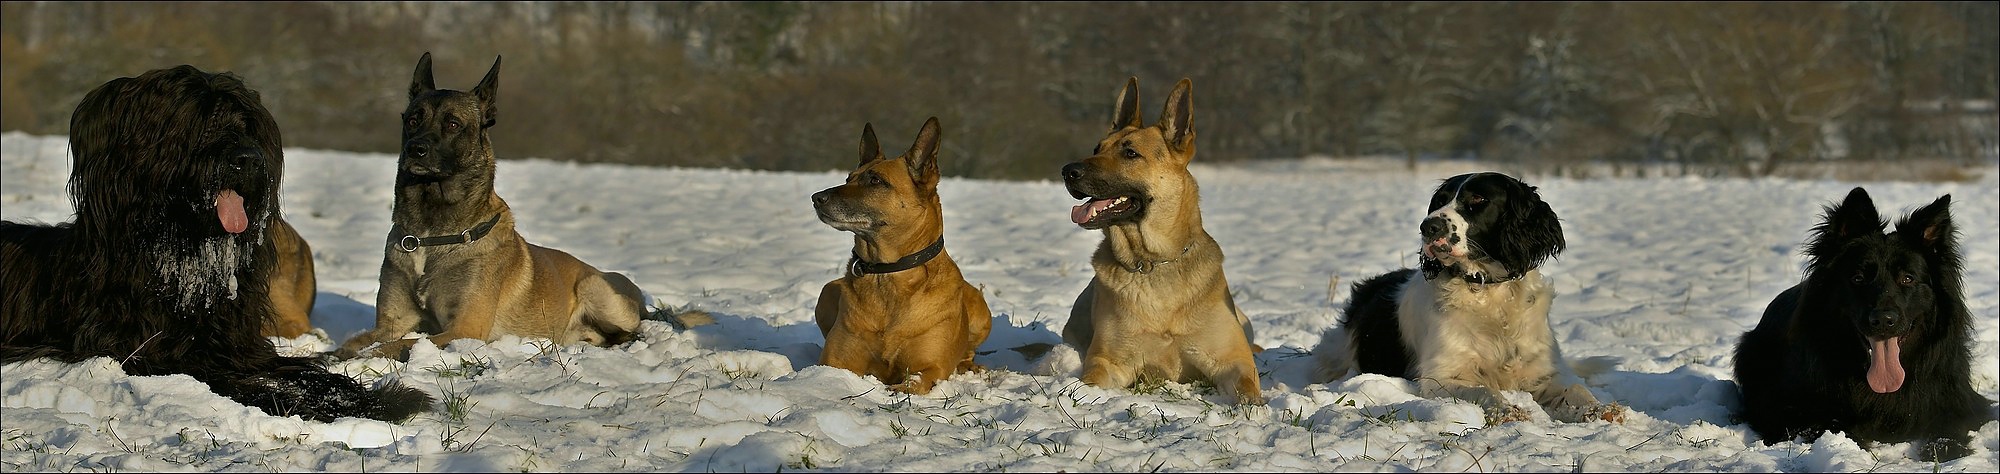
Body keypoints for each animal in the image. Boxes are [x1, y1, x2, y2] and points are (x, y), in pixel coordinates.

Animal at [1, 64, 432, 422]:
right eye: (198, 122)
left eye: (245, 124)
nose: (249, 160)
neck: (182, 260)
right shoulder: (155, 354)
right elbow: (241, 384)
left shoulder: (240, 345)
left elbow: (308, 373)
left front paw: (382, 399)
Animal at [334, 52, 648, 360]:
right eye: (412, 120)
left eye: (452, 124)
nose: (415, 149)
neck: (431, 231)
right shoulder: (392, 323)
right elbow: (355, 343)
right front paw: (331, 355)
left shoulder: (464, 328)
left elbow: (395, 346)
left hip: (595, 288)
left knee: (633, 329)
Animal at [812, 116, 992, 394]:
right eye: (848, 178)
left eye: (876, 181)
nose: (816, 198)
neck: (887, 273)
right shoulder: (834, 362)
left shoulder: (930, 367)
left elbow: (914, 381)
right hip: (827, 291)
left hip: (980, 310)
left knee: (968, 352)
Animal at [1064, 77, 1264, 404]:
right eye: (1096, 148)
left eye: (1130, 153)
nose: (1067, 171)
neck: (1153, 262)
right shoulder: (1108, 361)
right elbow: (1090, 380)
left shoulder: (1233, 360)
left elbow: (1247, 387)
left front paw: (1254, 407)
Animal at [1728, 187, 1992, 462]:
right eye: (1857, 278)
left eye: (1907, 279)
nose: (1883, 320)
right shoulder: (1783, 408)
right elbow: (1829, 424)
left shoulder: (1961, 402)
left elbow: (1950, 424)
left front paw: (1945, 449)